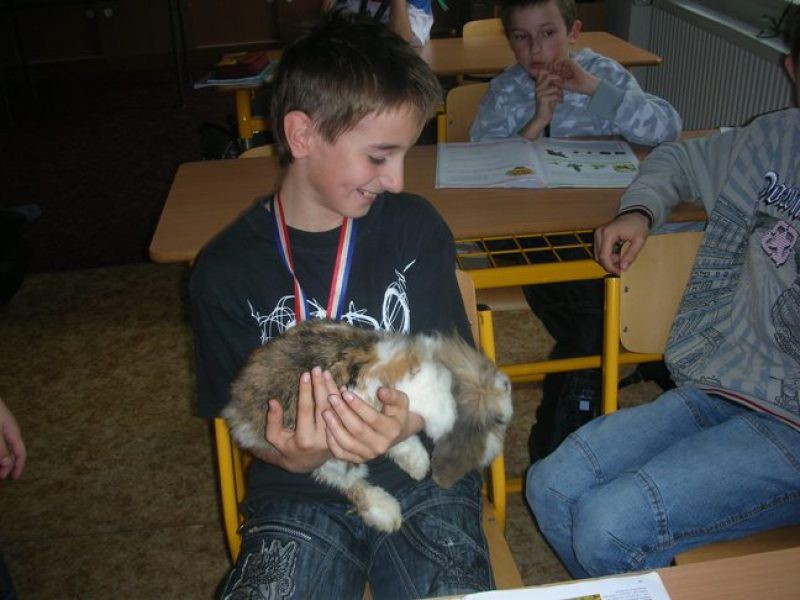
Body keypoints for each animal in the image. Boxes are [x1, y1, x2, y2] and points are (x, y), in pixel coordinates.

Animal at [223, 319, 513, 533]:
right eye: (497, 420)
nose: (496, 450)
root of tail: (236, 409)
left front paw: (419, 466)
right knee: (347, 480)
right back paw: (387, 513)